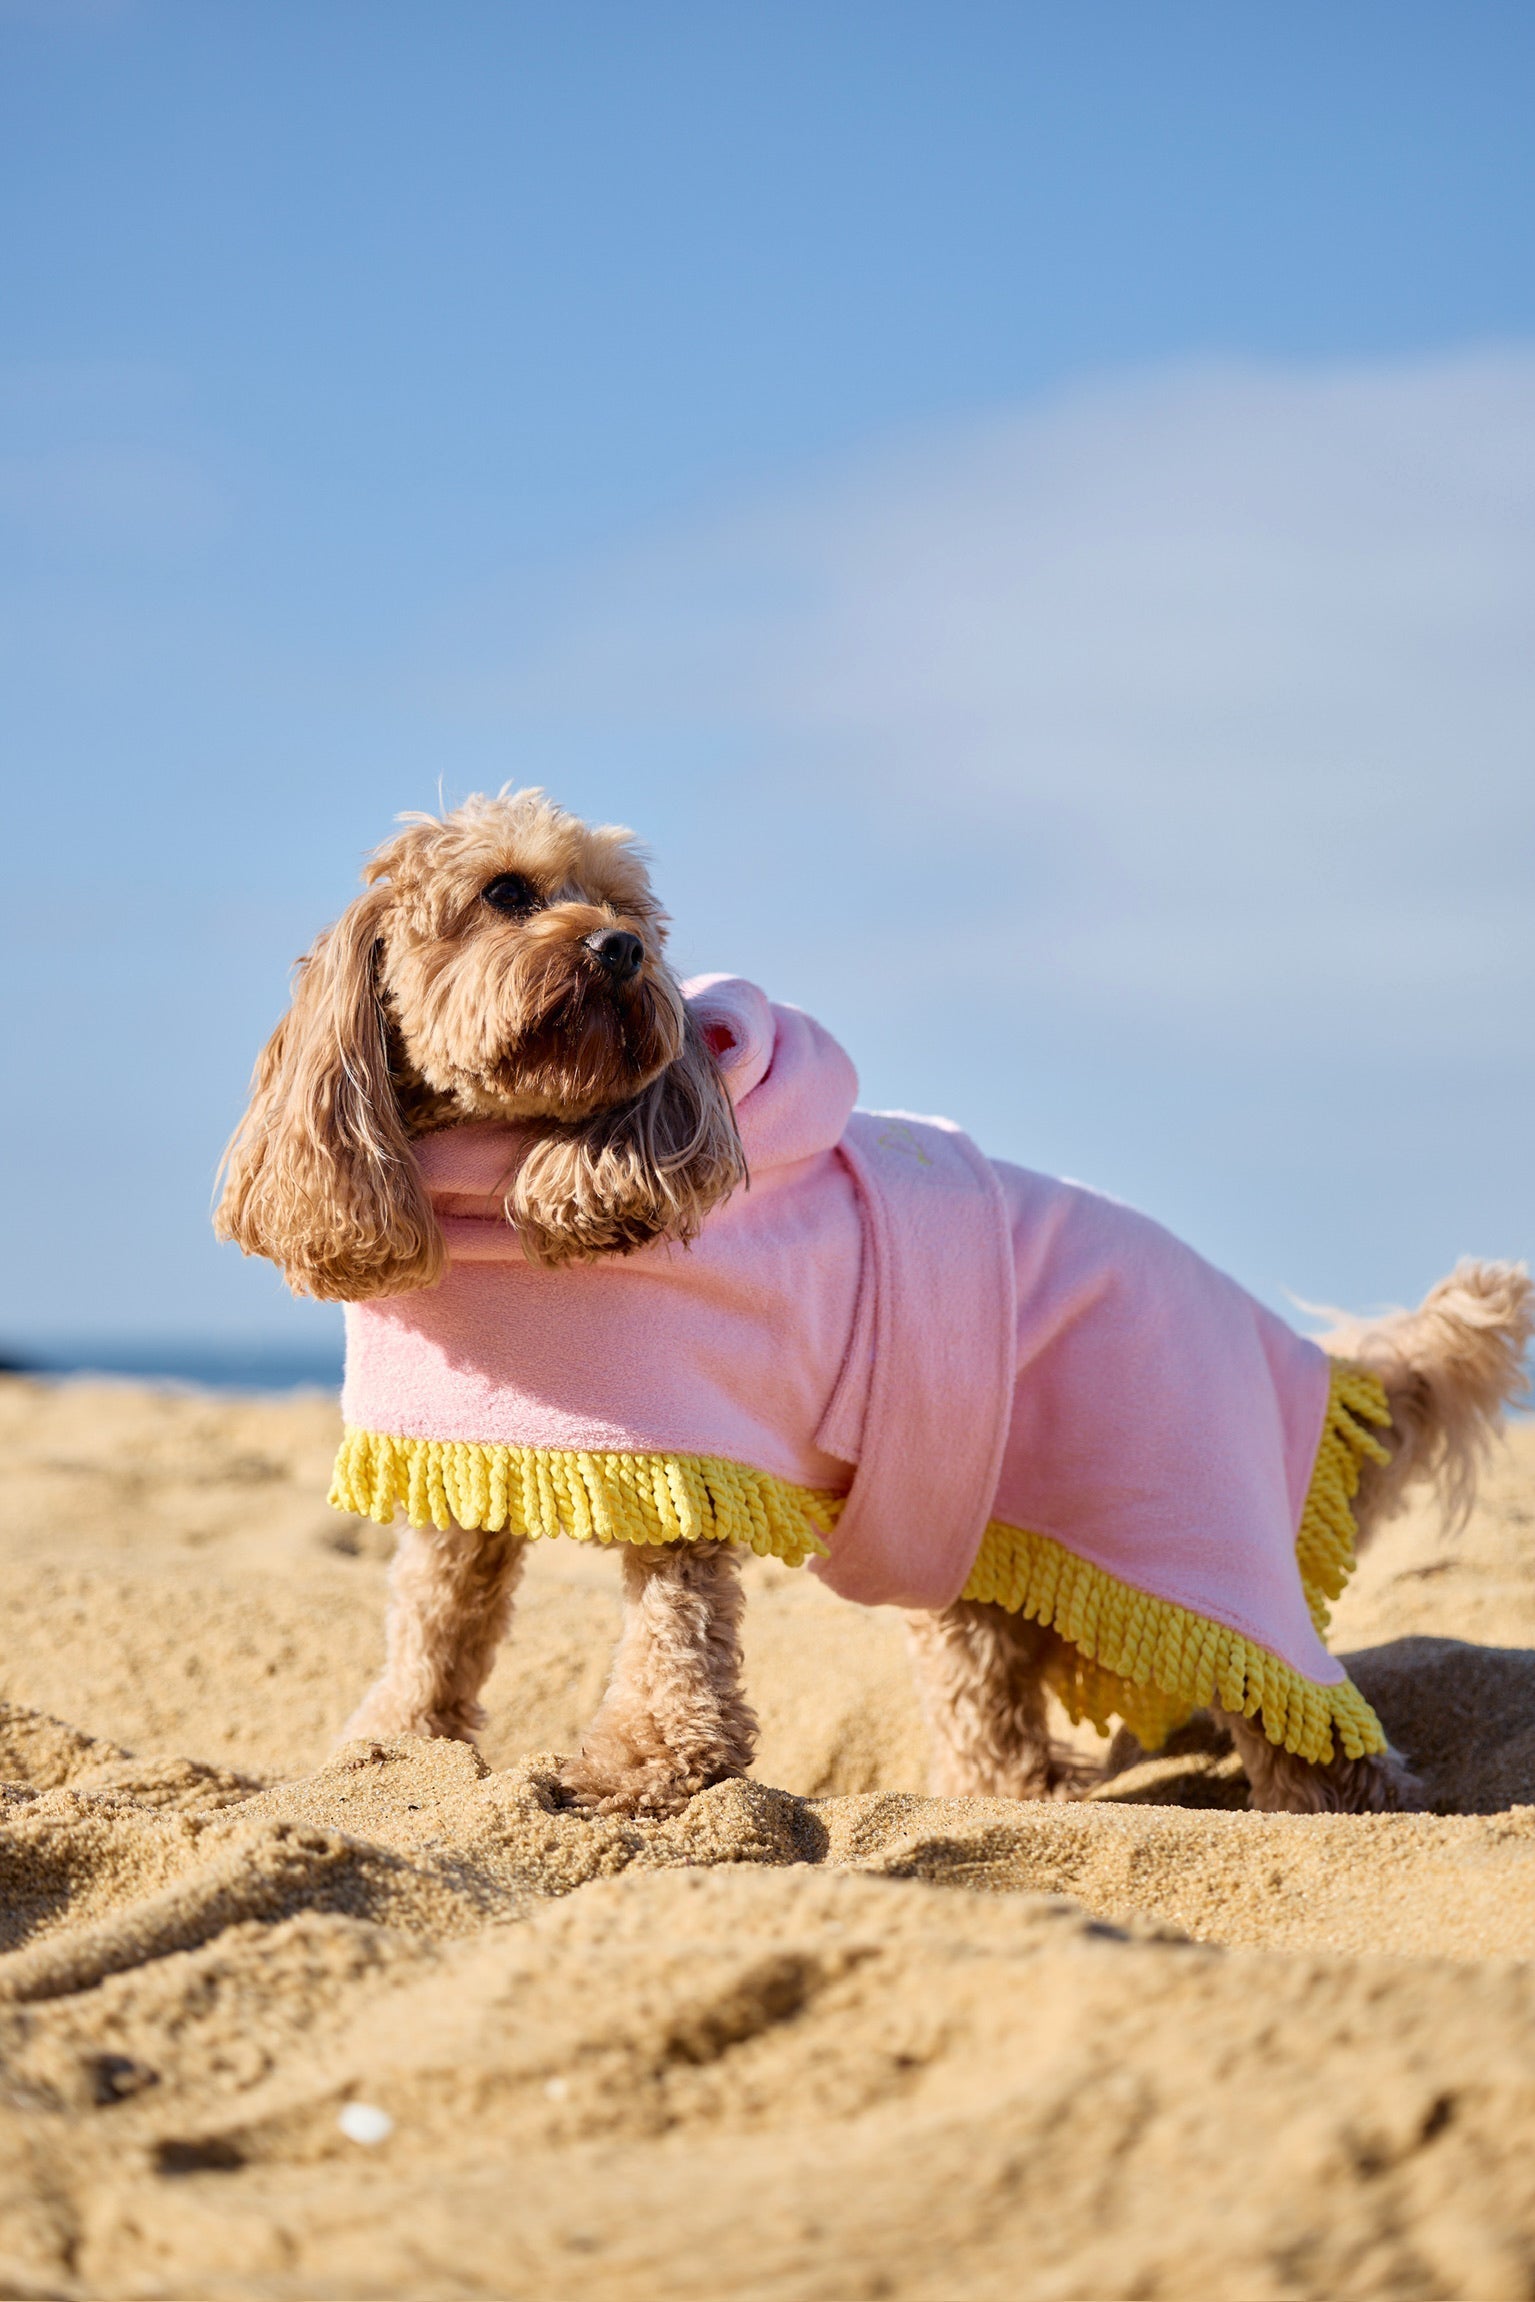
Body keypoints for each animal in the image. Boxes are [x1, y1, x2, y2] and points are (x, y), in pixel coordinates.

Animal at [218, 791, 1535, 1813]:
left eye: (631, 913)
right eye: (504, 892)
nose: (619, 953)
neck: (500, 1172)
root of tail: (1280, 1345)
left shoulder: (677, 1466)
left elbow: (669, 1637)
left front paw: (642, 1770)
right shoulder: (463, 1452)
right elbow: (434, 1618)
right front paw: (388, 1752)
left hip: (1190, 1518)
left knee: (1304, 1723)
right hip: (980, 1534)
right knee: (990, 1700)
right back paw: (1003, 1799)